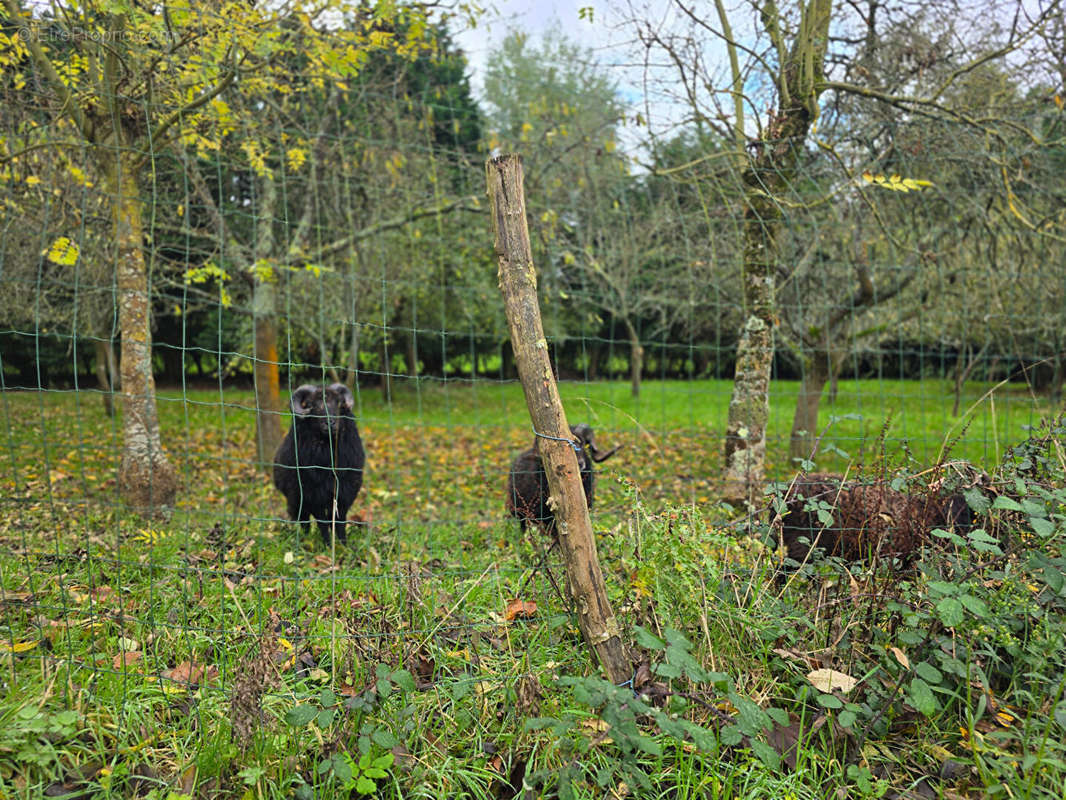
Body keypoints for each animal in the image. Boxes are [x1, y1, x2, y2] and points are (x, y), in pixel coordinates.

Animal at [275, 386, 366, 550]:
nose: (330, 423)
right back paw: (306, 538)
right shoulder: (313, 496)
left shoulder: (344, 494)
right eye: (313, 405)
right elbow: (322, 524)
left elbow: (339, 522)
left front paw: (344, 546)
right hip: (296, 500)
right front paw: (328, 546)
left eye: (339, 403)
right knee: (304, 520)